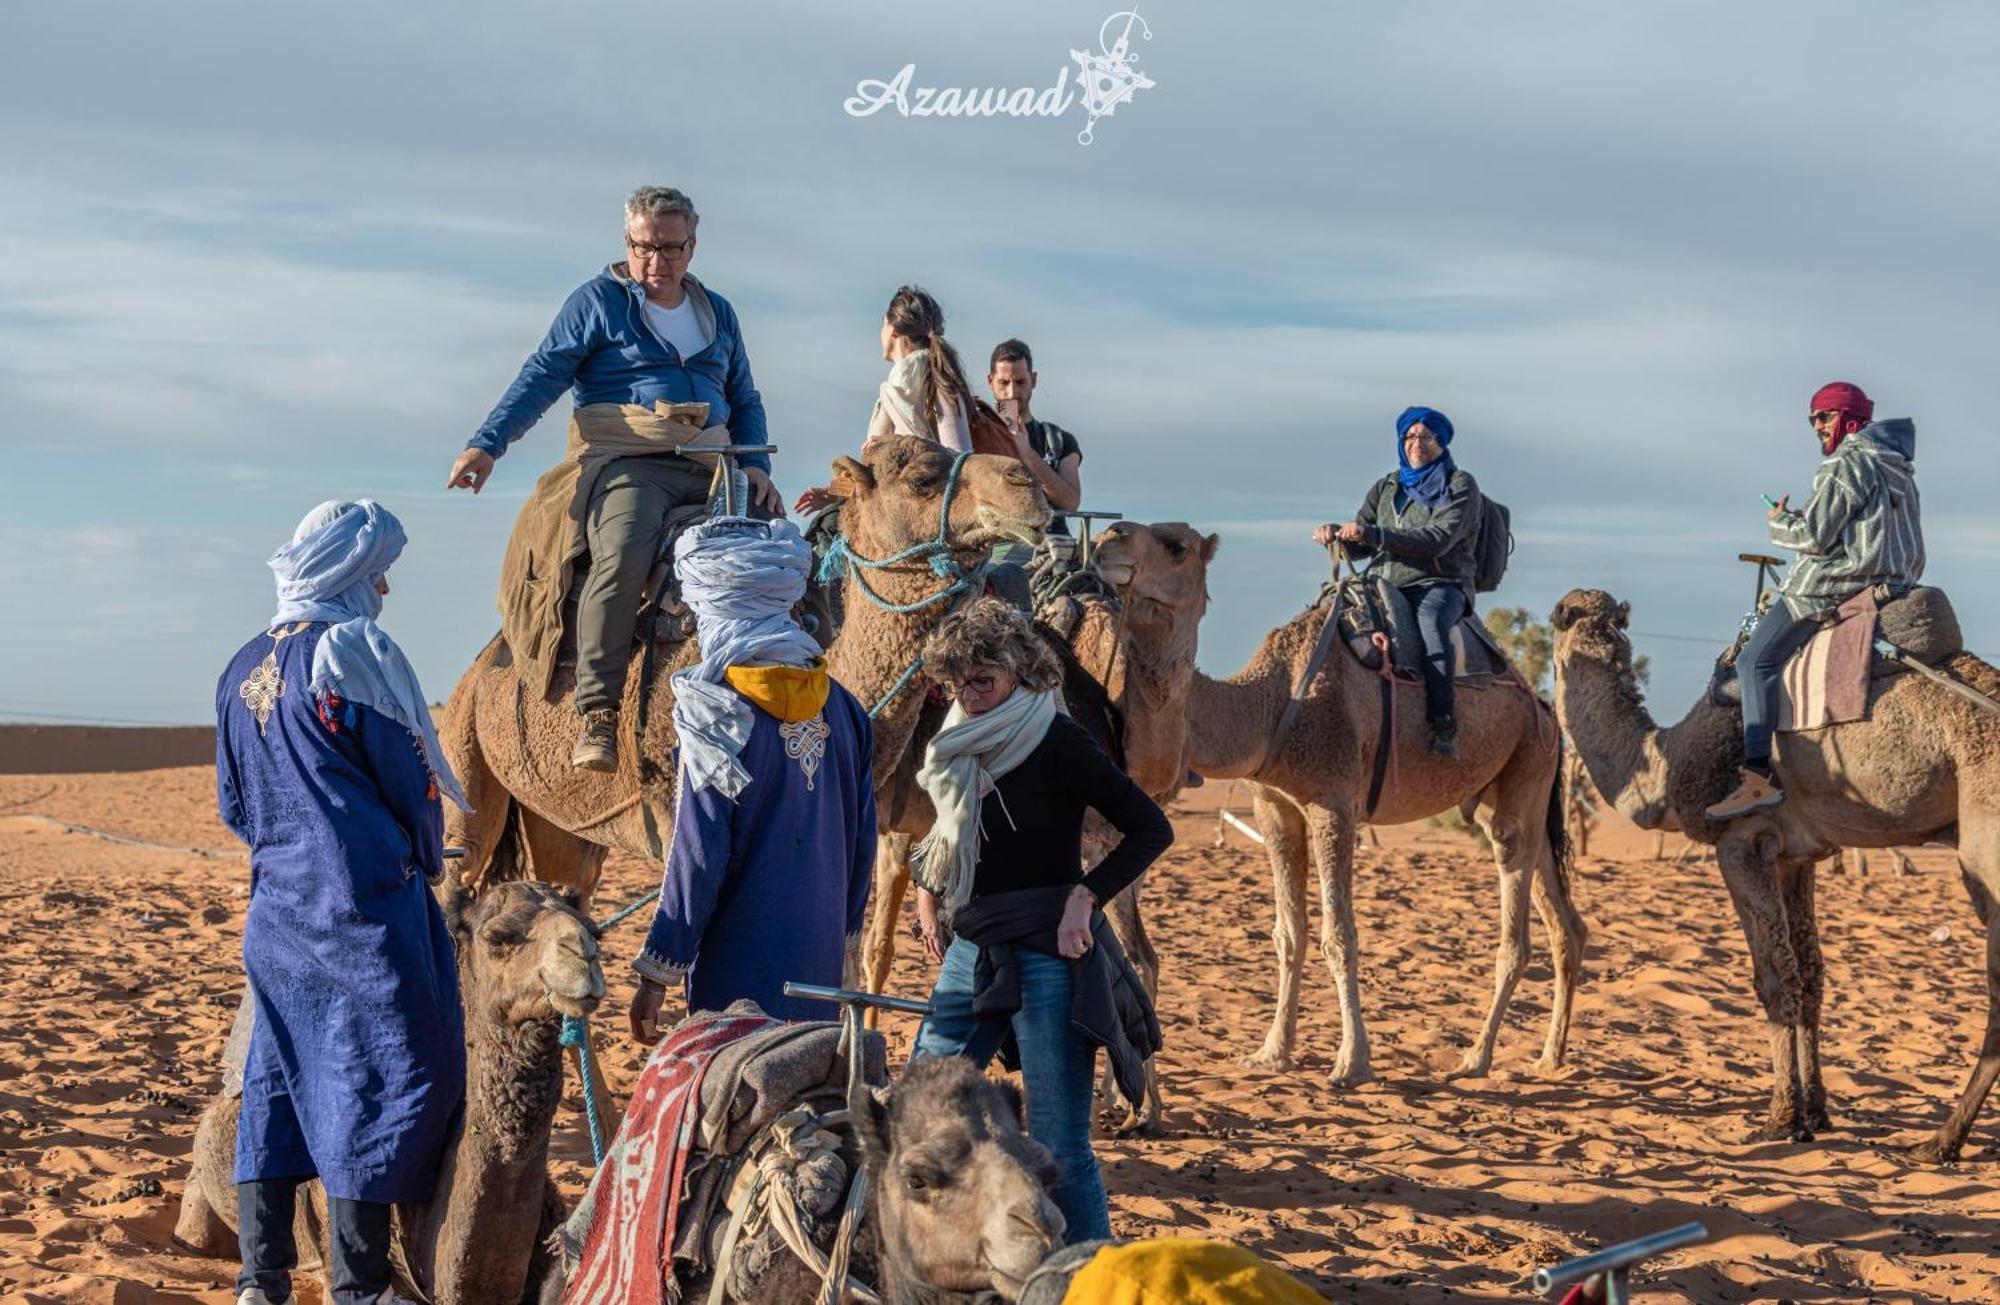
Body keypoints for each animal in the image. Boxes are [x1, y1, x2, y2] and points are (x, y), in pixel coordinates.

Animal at [438, 436, 1048, 896]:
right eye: (922, 478)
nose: (1028, 484)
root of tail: (477, 671)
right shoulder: (676, 810)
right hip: (464, 764)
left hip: (561, 822)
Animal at [1088, 524, 1584, 1088]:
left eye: (1175, 546)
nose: (1107, 538)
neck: (1270, 705)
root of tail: (1543, 708)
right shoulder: (1275, 808)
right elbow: (1288, 934)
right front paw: (1271, 1052)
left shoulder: (1333, 804)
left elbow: (1338, 935)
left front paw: (1352, 1061)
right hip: (1511, 788)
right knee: (1565, 921)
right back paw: (1550, 1055)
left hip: (1526, 764)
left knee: (1515, 926)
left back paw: (1476, 1058)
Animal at [1560, 592, 2000, 1160]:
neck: (1667, 759)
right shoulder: (1796, 857)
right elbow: (1810, 974)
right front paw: (1816, 1111)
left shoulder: (1741, 840)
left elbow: (1773, 976)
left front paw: (1782, 1117)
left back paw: (1942, 1141)